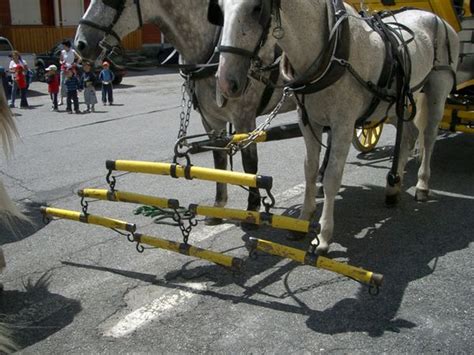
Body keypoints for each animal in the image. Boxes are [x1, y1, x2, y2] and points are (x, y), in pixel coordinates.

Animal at [74, 0, 296, 225]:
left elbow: (249, 163)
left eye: (112, 1)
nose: (80, 45)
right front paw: (218, 207)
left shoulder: (244, 118)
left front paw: (251, 211)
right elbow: (218, 160)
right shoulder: (211, 120)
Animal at [215, 0, 460, 252]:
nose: (225, 83)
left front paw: (323, 236)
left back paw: (422, 185)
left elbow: (332, 178)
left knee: (428, 137)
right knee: (409, 135)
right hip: (396, 104)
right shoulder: (308, 122)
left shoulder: (343, 124)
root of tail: (435, 18)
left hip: (436, 90)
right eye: (219, 10)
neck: (330, 53)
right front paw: (302, 222)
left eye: (256, 8)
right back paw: (394, 186)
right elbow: (310, 171)